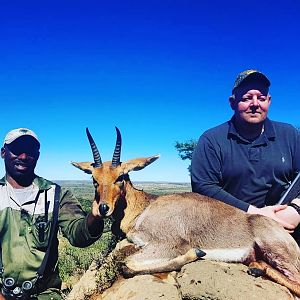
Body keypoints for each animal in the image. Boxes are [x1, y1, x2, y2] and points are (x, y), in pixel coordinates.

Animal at [72, 127, 300, 296]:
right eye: (94, 179)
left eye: (120, 176)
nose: (103, 208)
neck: (146, 206)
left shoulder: (170, 243)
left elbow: (127, 264)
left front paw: (196, 252)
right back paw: (255, 269)